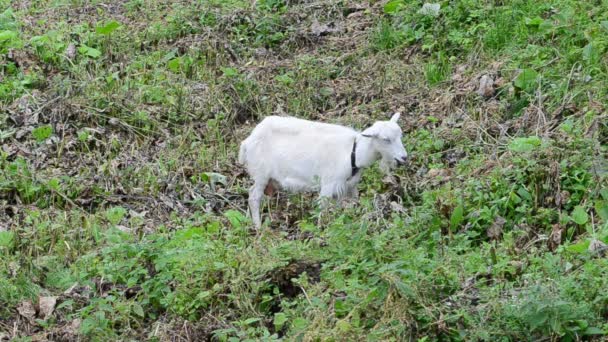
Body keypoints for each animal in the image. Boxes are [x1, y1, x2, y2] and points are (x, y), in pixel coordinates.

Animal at [238, 113, 408, 230]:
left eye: (400, 135)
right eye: (386, 139)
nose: (404, 157)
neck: (353, 153)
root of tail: (247, 141)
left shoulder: (349, 186)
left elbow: (346, 207)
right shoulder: (328, 184)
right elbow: (322, 208)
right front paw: (322, 230)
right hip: (261, 173)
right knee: (254, 197)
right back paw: (258, 226)